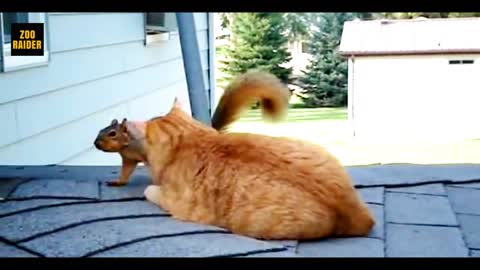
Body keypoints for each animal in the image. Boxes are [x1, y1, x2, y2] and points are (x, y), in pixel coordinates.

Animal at [92, 69, 290, 187]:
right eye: (99, 131)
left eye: (112, 133)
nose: (96, 144)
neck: (129, 144)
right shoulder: (128, 159)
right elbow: (125, 172)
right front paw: (117, 182)